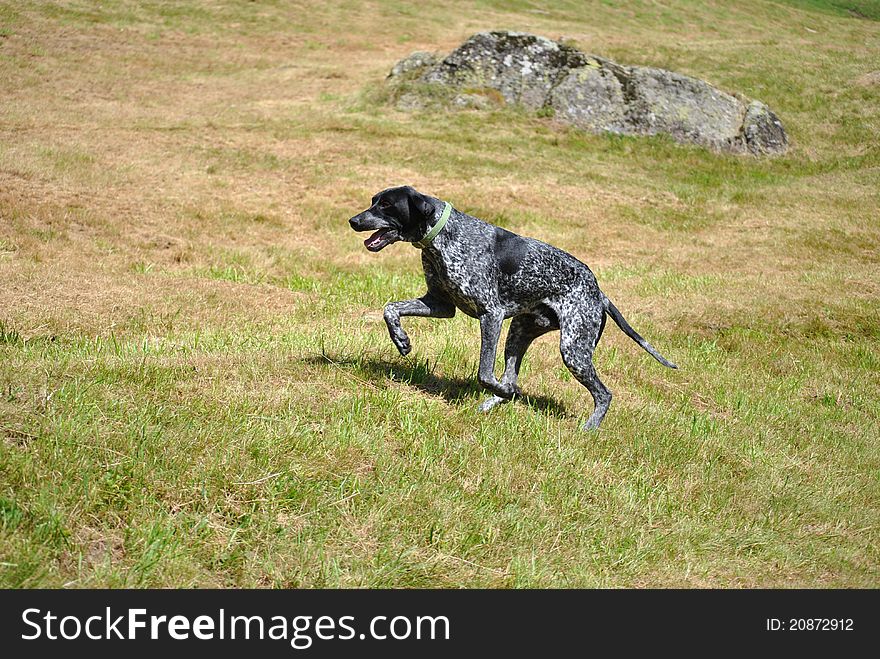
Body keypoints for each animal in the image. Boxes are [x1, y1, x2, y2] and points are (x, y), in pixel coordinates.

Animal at [348, 187, 676, 434]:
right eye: (373, 200)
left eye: (387, 205)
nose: (353, 220)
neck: (444, 236)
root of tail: (600, 293)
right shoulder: (439, 304)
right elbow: (390, 309)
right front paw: (400, 339)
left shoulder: (490, 315)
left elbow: (484, 373)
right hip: (519, 331)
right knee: (511, 379)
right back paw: (492, 403)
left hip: (574, 349)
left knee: (603, 394)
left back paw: (588, 429)